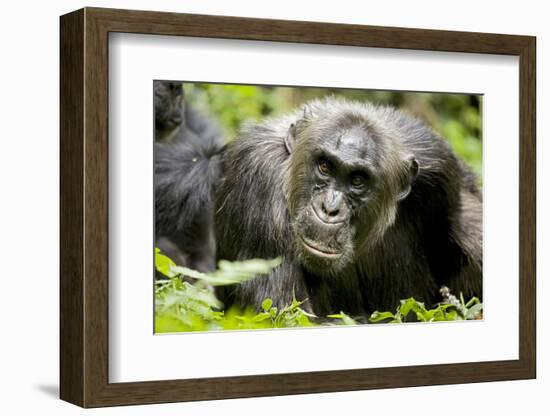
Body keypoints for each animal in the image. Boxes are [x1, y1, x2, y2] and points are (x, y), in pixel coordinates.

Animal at [216, 97, 484, 316]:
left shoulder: (440, 169)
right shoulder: (257, 178)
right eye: (324, 166)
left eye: (357, 180)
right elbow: (282, 311)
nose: (330, 208)